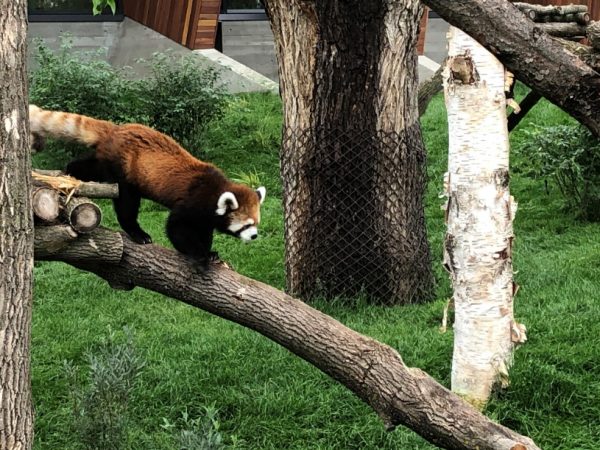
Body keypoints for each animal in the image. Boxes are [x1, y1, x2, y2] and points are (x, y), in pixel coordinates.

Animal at [27, 103, 268, 262]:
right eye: (247, 225)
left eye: (256, 223)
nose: (255, 235)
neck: (215, 190)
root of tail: (117, 129)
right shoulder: (192, 202)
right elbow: (176, 227)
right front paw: (200, 254)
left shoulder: (206, 216)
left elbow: (203, 230)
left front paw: (210, 250)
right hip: (122, 171)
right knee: (126, 203)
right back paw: (137, 233)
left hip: (106, 161)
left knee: (89, 166)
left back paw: (69, 172)